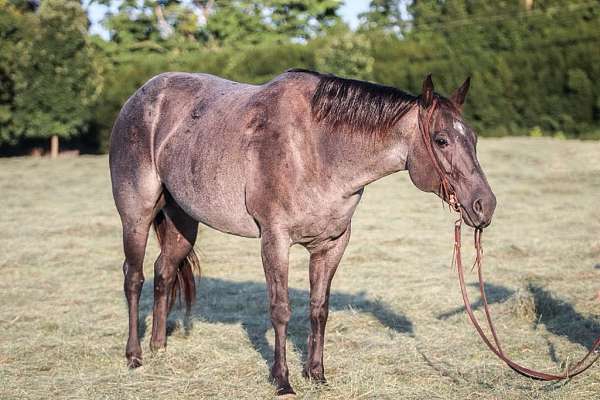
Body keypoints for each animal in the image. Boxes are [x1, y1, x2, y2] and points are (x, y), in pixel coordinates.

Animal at [110, 68, 494, 394]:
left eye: (474, 138)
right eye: (441, 140)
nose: (484, 206)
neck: (316, 149)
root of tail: (141, 97)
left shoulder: (332, 244)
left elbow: (318, 308)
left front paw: (317, 374)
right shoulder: (275, 240)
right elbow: (281, 309)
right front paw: (283, 381)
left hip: (183, 223)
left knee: (164, 272)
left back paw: (159, 346)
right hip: (136, 216)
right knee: (134, 277)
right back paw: (134, 355)